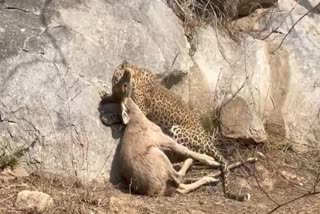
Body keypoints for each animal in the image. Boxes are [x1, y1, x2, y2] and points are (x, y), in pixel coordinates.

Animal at [100, 60, 250, 201]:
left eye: (119, 76)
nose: (126, 70)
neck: (137, 75)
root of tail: (207, 139)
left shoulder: (142, 108)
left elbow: (122, 112)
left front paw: (108, 115)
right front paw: (106, 98)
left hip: (176, 130)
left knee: (191, 154)